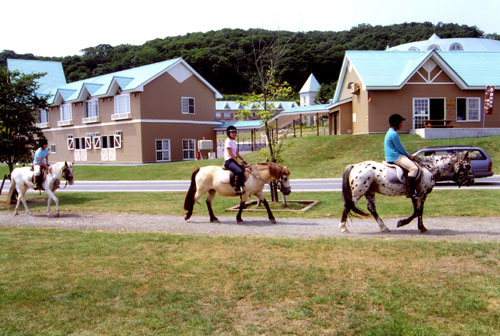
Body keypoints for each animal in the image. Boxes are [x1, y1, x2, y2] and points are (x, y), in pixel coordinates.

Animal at [340, 153, 472, 234]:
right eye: (467, 165)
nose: (471, 181)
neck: (429, 167)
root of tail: (355, 166)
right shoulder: (422, 193)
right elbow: (418, 211)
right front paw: (403, 223)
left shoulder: (415, 195)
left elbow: (417, 211)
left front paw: (420, 227)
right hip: (358, 192)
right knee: (348, 205)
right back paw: (343, 228)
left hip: (369, 192)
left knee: (371, 209)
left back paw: (384, 227)